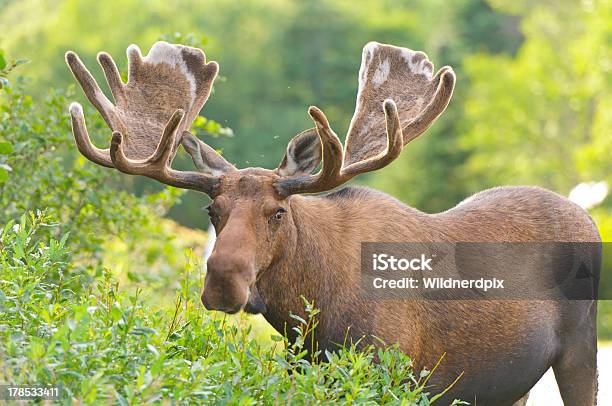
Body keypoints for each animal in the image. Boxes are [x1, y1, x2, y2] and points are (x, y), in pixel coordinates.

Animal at [64, 40, 600, 402]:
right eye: (211, 211)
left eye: (278, 212)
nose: (222, 283)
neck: (310, 312)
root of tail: (587, 217)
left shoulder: (394, 370)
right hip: (510, 384)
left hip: (580, 350)